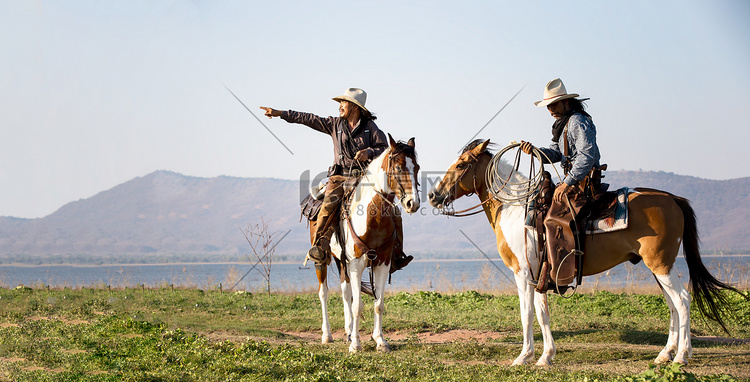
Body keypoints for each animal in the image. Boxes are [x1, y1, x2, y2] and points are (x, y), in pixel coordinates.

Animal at [310, 136, 420, 354]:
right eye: (398, 167)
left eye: (417, 167)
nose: (413, 203)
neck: (373, 216)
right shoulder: (356, 263)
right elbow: (358, 305)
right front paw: (356, 344)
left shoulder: (382, 262)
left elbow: (378, 304)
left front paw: (380, 341)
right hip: (323, 260)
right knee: (324, 293)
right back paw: (327, 335)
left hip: (341, 260)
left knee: (345, 292)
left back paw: (348, 331)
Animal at [428, 140, 748, 364]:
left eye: (461, 164)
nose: (433, 195)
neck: (516, 207)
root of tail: (673, 198)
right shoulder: (540, 274)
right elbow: (542, 314)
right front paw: (545, 357)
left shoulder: (522, 273)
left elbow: (526, 314)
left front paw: (523, 357)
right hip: (659, 268)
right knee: (672, 304)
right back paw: (664, 354)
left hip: (661, 265)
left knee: (682, 301)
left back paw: (682, 356)